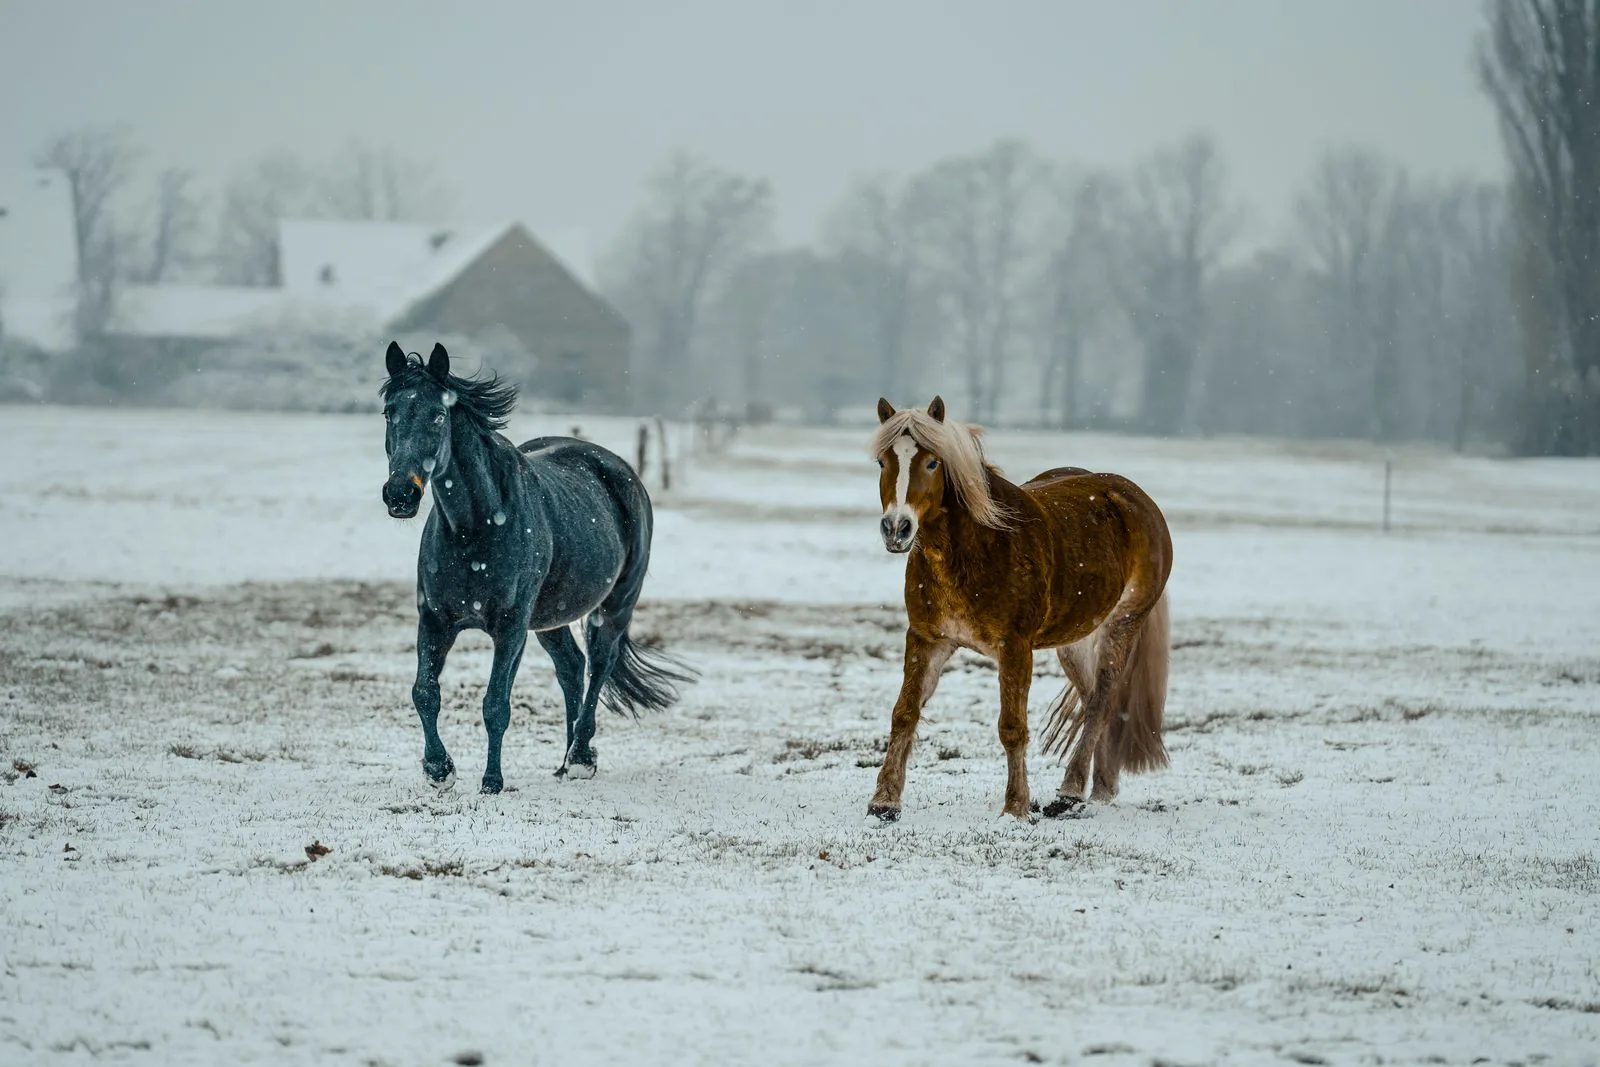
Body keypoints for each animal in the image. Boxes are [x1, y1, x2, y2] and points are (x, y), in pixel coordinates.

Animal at [379, 341, 694, 794]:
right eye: (389, 412)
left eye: (438, 414)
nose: (400, 494)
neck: (473, 530)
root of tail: (618, 469)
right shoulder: (436, 620)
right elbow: (425, 692)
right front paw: (439, 769)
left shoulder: (510, 627)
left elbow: (495, 703)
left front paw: (492, 781)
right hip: (550, 618)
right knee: (572, 667)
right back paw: (564, 762)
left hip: (614, 606)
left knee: (599, 665)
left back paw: (580, 758)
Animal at [866, 396, 1173, 822]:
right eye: (883, 461)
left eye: (931, 463)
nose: (896, 529)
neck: (973, 548)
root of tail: (1138, 500)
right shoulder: (928, 639)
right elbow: (904, 713)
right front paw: (884, 801)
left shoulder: (1014, 647)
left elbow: (1012, 727)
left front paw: (1015, 807)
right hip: (1075, 640)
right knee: (1095, 699)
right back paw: (1101, 788)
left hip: (1122, 623)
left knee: (1101, 700)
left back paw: (1069, 793)